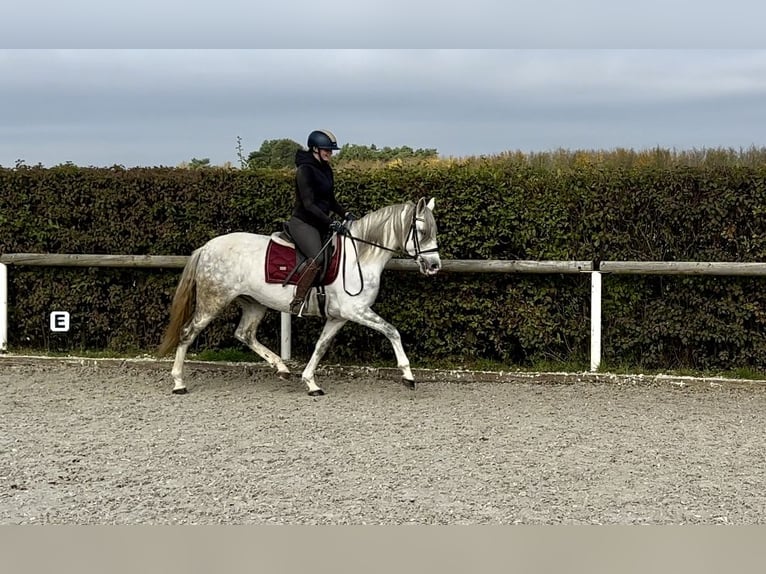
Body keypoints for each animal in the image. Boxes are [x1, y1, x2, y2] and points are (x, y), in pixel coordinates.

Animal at [158, 198, 444, 396]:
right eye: (421, 232)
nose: (434, 266)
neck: (359, 257)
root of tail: (206, 247)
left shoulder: (339, 317)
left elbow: (321, 346)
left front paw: (310, 383)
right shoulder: (356, 311)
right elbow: (392, 331)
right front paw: (408, 376)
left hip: (254, 304)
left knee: (244, 334)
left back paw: (282, 369)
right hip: (213, 301)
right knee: (188, 333)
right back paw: (179, 383)